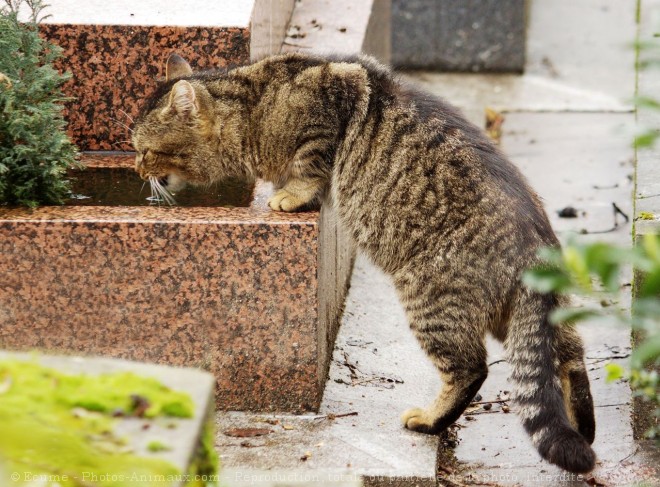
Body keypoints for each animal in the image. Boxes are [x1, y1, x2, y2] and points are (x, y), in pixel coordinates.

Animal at [131, 52, 596, 472]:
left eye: (146, 150)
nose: (136, 170)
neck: (254, 107)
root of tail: (537, 247)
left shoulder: (327, 109)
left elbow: (309, 167)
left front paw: (289, 194)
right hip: (524, 319)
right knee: (568, 352)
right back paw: (584, 426)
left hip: (432, 301)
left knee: (471, 369)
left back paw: (430, 420)